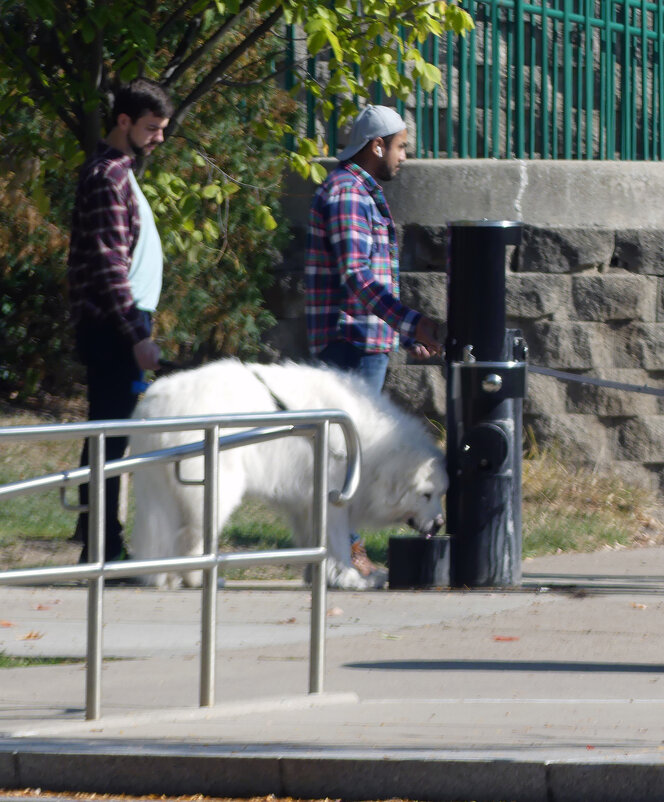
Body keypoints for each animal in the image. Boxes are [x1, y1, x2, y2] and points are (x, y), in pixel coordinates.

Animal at [129, 358, 446, 588]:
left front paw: (321, 577)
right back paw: (199, 578)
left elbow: (314, 541)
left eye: (442, 494)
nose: (441, 523)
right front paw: (351, 578)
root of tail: (154, 404)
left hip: (159, 489)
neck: (370, 446)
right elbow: (336, 542)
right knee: (193, 538)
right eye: (426, 495)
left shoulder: (306, 501)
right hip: (215, 488)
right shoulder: (332, 496)